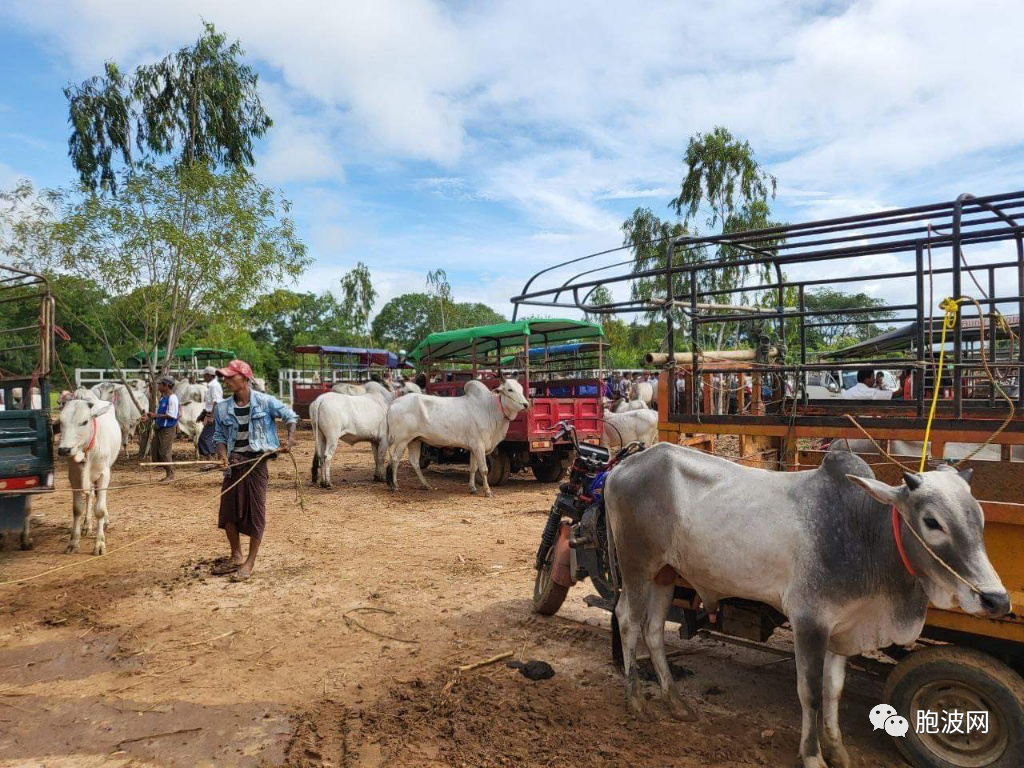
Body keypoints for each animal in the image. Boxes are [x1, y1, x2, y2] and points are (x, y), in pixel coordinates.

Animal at [56, 393, 122, 557]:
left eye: (84, 422)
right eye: (61, 422)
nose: (64, 450)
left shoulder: (104, 475)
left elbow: (100, 509)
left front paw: (99, 543)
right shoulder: (74, 477)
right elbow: (77, 509)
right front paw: (73, 542)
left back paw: (104, 521)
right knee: (90, 495)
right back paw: (87, 525)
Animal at [387, 380, 532, 499]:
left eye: (521, 389)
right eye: (510, 389)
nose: (526, 404)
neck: (490, 410)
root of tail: (393, 403)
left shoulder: (474, 447)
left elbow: (473, 468)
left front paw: (472, 488)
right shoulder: (479, 445)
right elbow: (484, 469)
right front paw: (488, 491)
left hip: (415, 440)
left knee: (415, 462)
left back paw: (426, 485)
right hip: (401, 440)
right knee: (395, 459)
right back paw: (395, 485)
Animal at [602, 444, 1011, 768]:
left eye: (980, 518)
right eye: (931, 521)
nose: (997, 599)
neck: (862, 532)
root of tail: (621, 467)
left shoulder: (843, 629)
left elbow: (833, 690)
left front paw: (838, 750)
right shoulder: (809, 621)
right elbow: (810, 691)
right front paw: (813, 755)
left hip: (664, 575)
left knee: (653, 630)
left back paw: (675, 703)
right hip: (637, 566)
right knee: (627, 621)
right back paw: (636, 702)